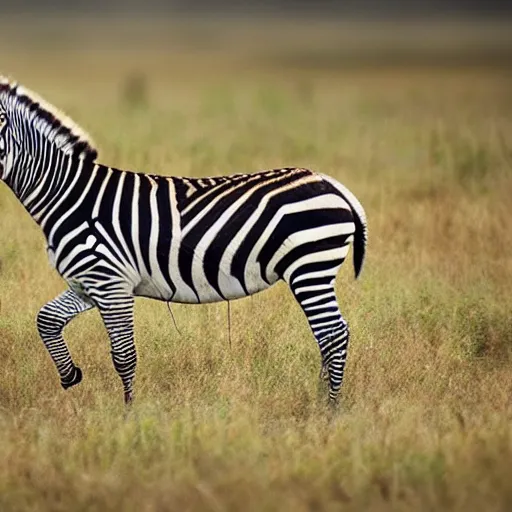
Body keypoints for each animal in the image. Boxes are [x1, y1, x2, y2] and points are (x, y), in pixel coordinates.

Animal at [0, 77, 368, 404]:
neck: (68, 196)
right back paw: (320, 399)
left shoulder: (111, 282)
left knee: (334, 335)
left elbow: (123, 355)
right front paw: (70, 375)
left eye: (0, 121)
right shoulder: (86, 283)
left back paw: (329, 409)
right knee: (328, 337)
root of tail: (331, 183)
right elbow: (46, 320)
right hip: (312, 269)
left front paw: (129, 416)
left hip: (311, 268)